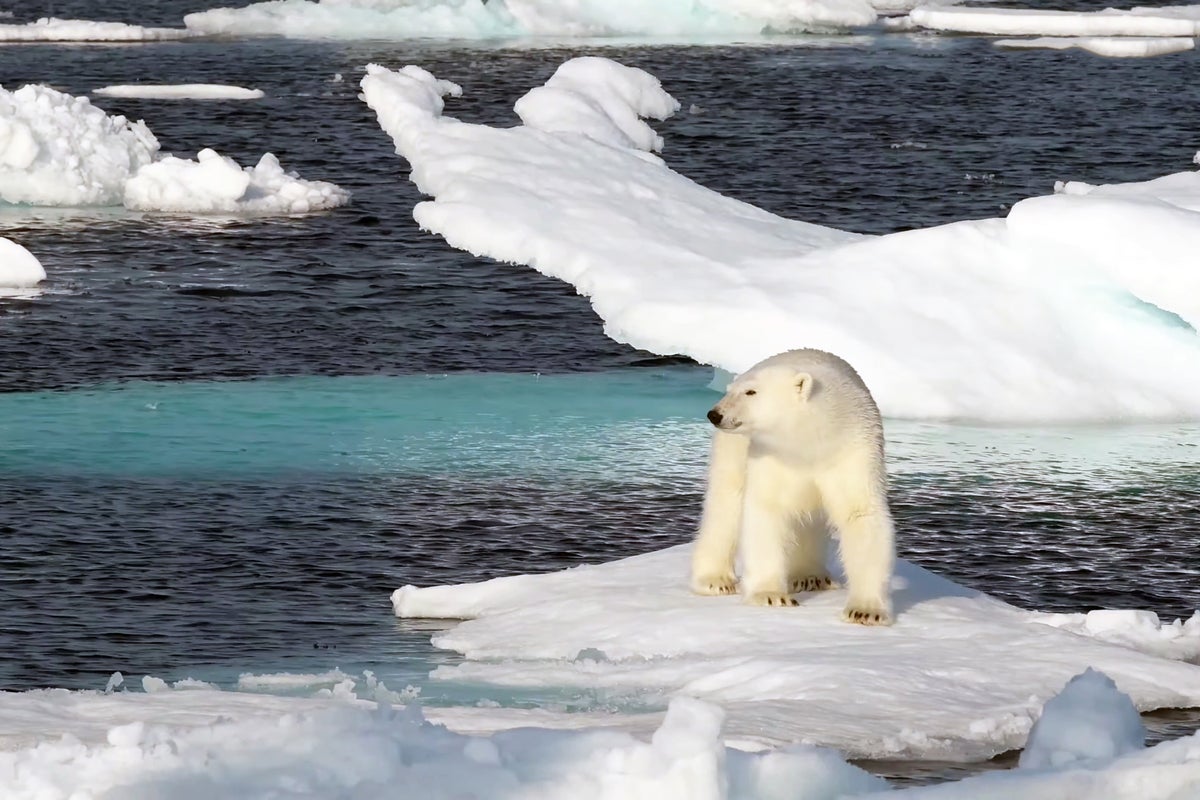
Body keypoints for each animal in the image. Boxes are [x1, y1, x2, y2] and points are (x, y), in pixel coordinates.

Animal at [689, 348, 895, 625]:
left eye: (751, 391)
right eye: (730, 390)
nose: (715, 414)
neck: (809, 442)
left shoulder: (852, 450)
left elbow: (860, 512)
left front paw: (866, 611)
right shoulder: (768, 454)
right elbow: (766, 508)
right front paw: (770, 595)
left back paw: (810, 576)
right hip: (732, 449)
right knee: (726, 503)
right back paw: (714, 580)